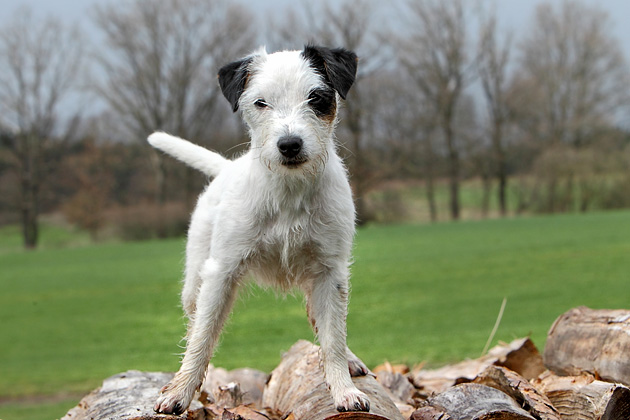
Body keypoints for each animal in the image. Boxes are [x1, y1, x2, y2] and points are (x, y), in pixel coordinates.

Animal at [148, 45, 370, 414]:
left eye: (316, 97)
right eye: (260, 102)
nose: (290, 144)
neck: (287, 191)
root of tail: (226, 168)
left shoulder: (331, 273)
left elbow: (333, 339)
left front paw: (343, 389)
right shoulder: (220, 273)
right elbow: (202, 338)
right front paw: (180, 392)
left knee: (322, 320)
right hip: (195, 282)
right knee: (194, 323)